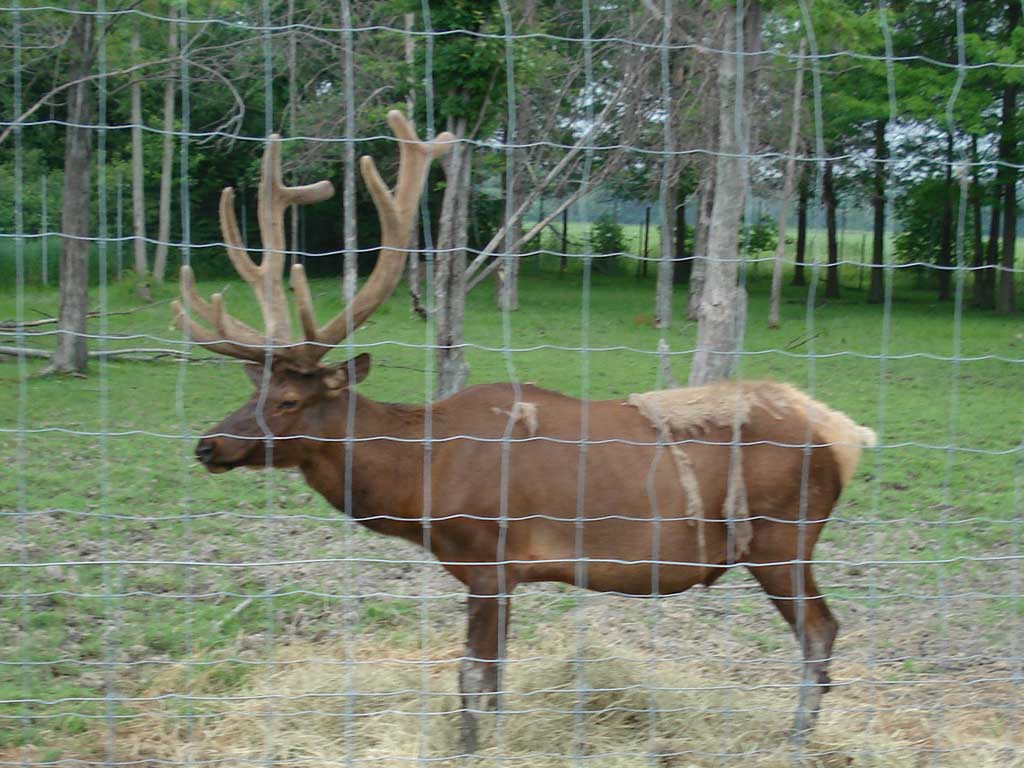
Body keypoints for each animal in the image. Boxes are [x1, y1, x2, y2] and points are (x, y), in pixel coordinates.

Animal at [172, 111, 876, 753]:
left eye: (289, 399)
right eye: (252, 391)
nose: (208, 444)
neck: (421, 483)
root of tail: (843, 435)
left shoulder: (488, 556)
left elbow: (470, 679)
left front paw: (468, 747)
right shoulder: (506, 573)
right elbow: (495, 683)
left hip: (782, 537)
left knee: (821, 631)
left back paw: (796, 739)